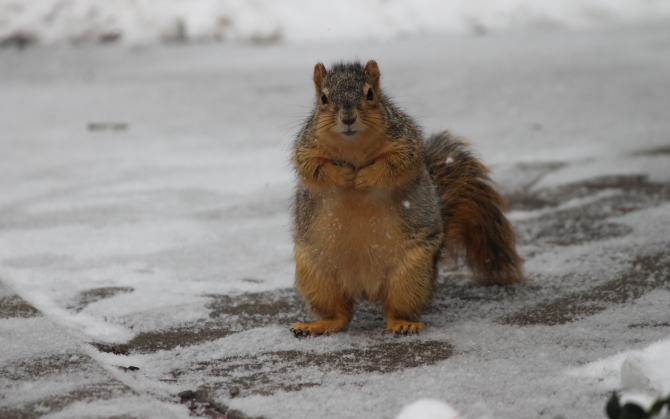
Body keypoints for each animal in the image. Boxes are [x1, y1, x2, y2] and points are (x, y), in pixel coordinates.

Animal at [290, 60, 524, 338]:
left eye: (370, 94)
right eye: (323, 98)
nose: (348, 118)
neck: (352, 147)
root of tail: (365, 288)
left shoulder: (405, 140)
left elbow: (397, 165)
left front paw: (364, 177)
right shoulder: (306, 147)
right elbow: (311, 168)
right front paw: (344, 175)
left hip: (412, 273)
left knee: (395, 308)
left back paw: (403, 324)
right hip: (316, 274)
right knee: (340, 315)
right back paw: (316, 325)